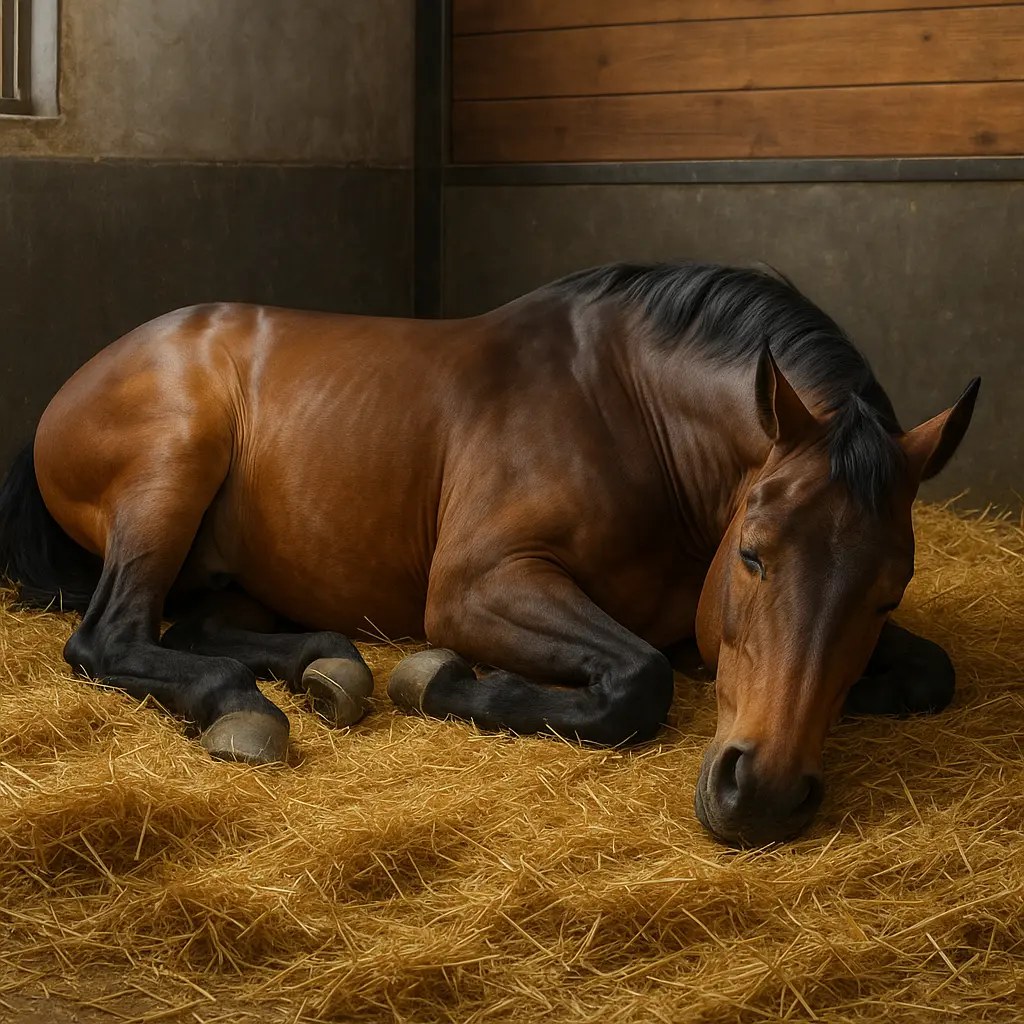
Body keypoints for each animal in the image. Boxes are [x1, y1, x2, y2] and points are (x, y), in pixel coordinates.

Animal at [0, 261, 978, 847]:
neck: (627, 410)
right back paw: (242, 708)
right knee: (112, 637)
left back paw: (327, 666)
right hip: (173, 470)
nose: (766, 791)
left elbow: (935, 673)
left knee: (197, 627)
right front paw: (442, 681)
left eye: (888, 595)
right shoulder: (478, 586)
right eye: (753, 556)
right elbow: (638, 680)